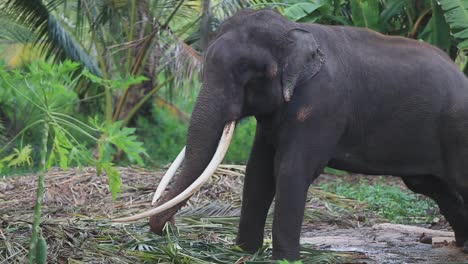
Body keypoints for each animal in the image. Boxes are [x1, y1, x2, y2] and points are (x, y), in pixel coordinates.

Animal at [113, 8, 468, 262]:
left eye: (248, 72)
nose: (168, 232)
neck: (293, 30)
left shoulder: (322, 106)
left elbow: (291, 171)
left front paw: (284, 259)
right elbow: (257, 172)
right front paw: (244, 252)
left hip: (457, 130)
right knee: (432, 186)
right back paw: (463, 245)